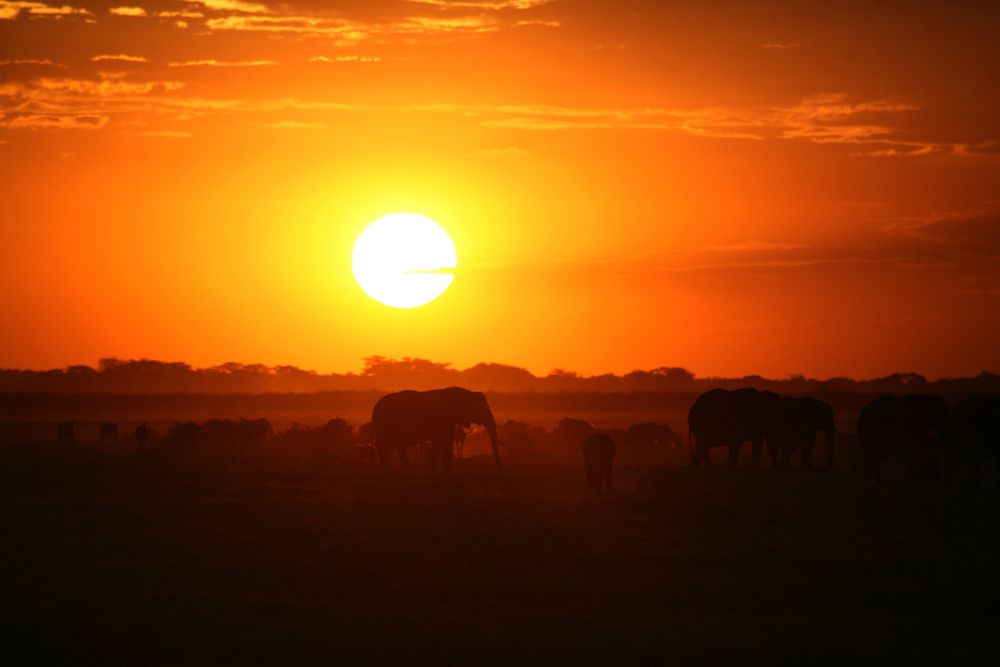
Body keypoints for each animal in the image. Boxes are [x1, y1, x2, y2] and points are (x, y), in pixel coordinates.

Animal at [370, 387, 501, 469]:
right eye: (482, 407)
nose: (500, 467)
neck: (466, 392)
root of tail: (375, 408)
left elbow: (441, 440)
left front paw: (433, 467)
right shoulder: (443, 418)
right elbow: (443, 439)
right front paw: (445, 468)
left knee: (391, 445)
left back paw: (389, 467)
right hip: (388, 424)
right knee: (394, 444)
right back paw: (395, 467)